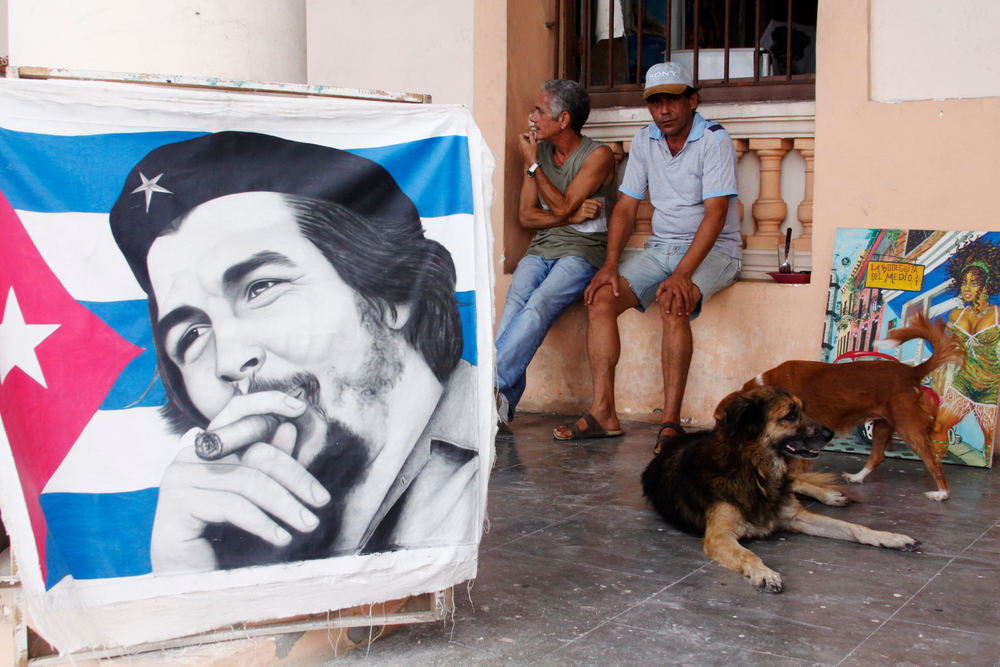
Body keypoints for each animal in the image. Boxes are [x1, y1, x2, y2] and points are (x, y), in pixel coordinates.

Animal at [644, 386, 916, 596]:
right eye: (789, 415)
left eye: (804, 409)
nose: (830, 434)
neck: (757, 470)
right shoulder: (719, 536)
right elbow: (749, 555)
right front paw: (765, 573)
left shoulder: (797, 517)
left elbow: (854, 527)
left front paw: (890, 537)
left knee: (797, 482)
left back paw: (830, 495)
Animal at [716, 314, 964, 500]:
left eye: (721, 421)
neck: (766, 384)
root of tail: (912, 371)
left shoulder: (804, 441)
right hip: (882, 425)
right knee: (877, 457)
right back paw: (857, 477)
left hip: (908, 426)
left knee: (933, 459)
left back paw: (942, 493)